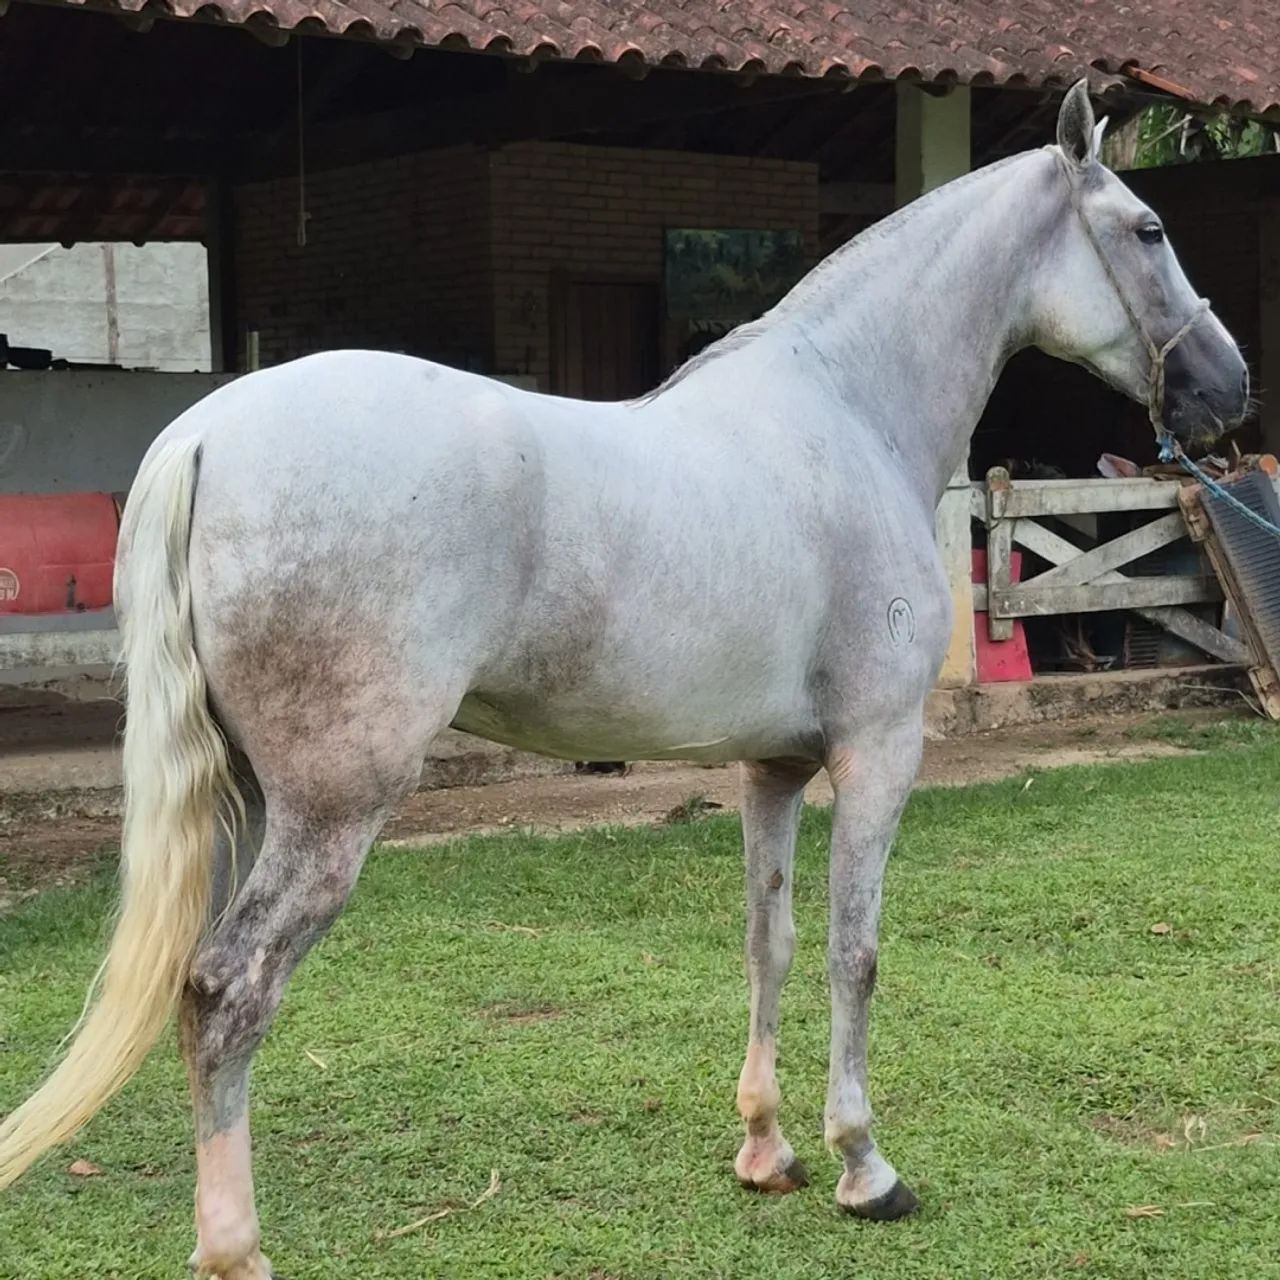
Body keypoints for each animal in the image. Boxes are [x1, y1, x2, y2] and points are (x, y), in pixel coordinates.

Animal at [0, 82, 1248, 1277]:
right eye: (1146, 228)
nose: (1225, 386)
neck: (848, 414)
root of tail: (206, 435)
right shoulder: (878, 751)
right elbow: (853, 953)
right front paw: (864, 1166)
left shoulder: (771, 768)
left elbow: (767, 940)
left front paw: (765, 1148)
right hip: (331, 809)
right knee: (229, 990)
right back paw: (235, 1245)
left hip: (251, 800)